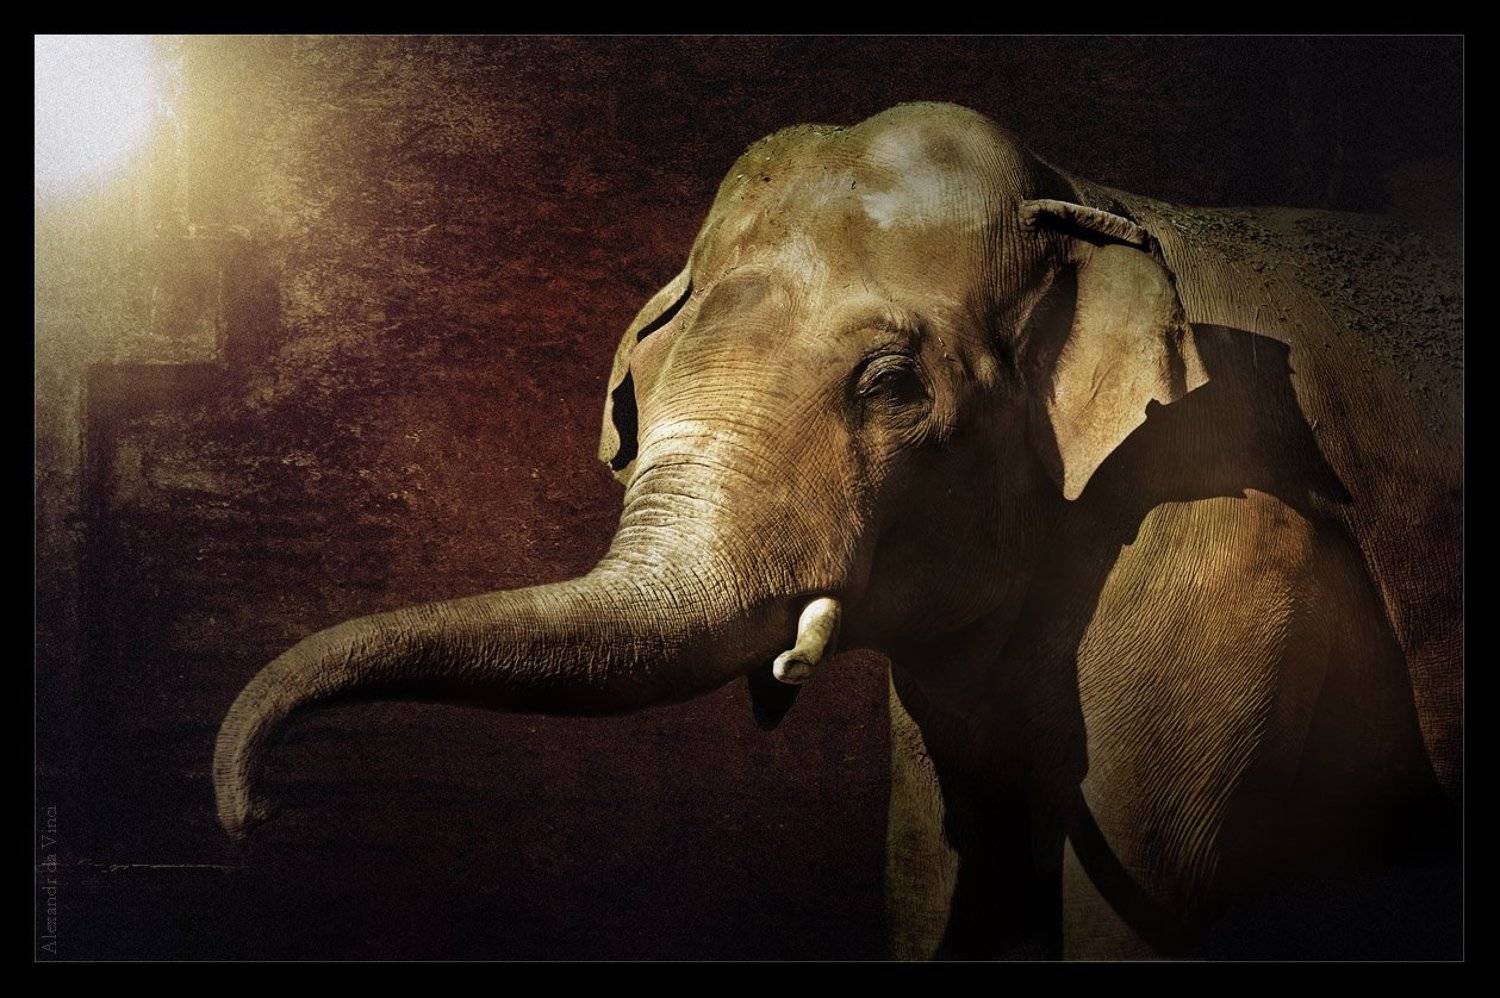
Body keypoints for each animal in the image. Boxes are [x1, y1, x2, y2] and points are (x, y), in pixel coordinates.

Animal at [213, 101, 1462, 959]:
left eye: (892, 382)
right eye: (641, 386)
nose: (251, 810)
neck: (1093, 198)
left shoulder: (1225, 539)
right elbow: (941, 866)